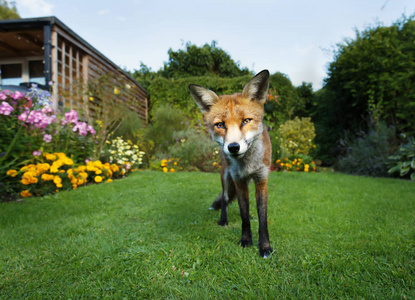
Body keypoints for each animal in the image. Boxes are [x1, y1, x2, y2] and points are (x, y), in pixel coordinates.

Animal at [189, 70, 272, 258]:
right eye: (220, 125)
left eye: (246, 121)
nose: (233, 147)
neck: (247, 164)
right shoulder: (238, 181)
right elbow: (243, 215)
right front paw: (246, 240)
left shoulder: (261, 179)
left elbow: (262, 218)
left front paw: (265, 246)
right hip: (226, 178)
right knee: (225, 199)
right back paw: (223, 220)